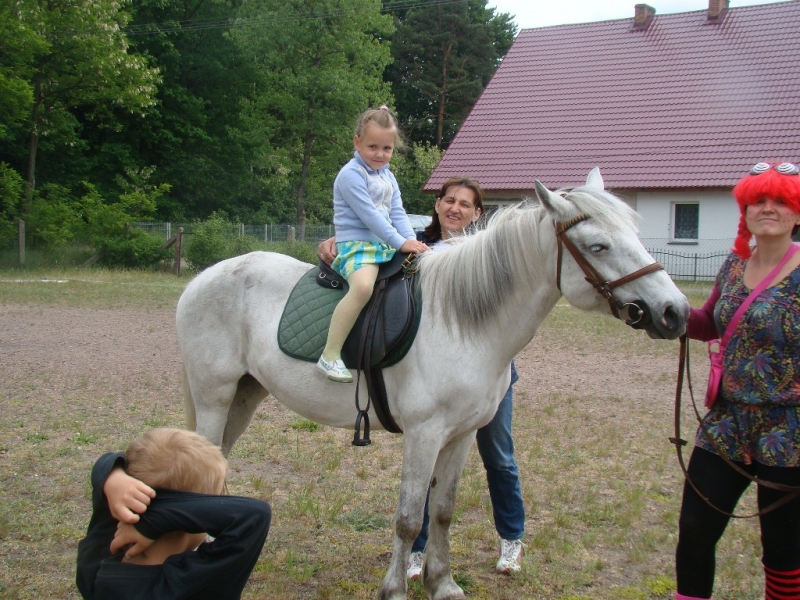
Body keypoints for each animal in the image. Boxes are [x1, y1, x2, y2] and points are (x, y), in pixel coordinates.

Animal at [178, 169, 692, 600]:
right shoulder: (424, 435)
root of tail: (203, 277)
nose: (675, 312)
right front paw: (395, 589)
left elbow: (442, 510)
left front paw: (442, 583)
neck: (464, 323)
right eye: (599, 246)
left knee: (216, 460)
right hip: (215, 397)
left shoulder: (461, 435)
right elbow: (409, 519)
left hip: (245, 395)